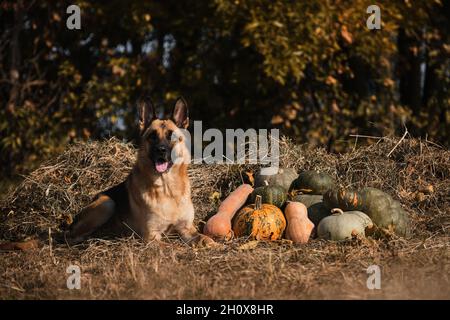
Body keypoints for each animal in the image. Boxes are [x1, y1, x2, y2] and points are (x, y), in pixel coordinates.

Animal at [63, 96, 216, 246]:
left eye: (171, 137)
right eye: (152, 136)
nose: (161, 150)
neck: (168, 189)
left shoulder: (187, 229)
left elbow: (205, 238)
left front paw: (214, 243)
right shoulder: (152, 236)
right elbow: (170, 246)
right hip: (107, 204)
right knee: (71, 236)